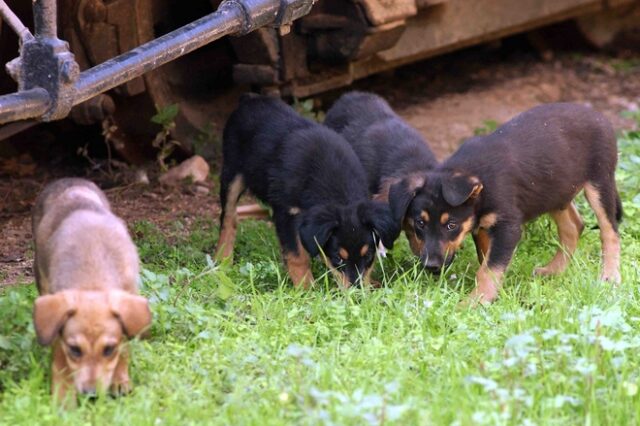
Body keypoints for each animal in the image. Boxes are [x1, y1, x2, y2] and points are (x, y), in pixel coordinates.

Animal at [33, 177, 152, 402]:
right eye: (75, 350)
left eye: (108, 349)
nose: (91, 395)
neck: (92, 281)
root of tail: (69, 180)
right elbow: (60, 358)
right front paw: (63, 397)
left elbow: (124, 348)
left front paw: (120, 380)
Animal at [218, 95, 398, 288]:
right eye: (337, 258)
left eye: (369, 256)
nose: (357, 292)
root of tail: (249, 99)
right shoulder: (286, 213)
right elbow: (297, 256)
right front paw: (306, 288)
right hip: (232, 172)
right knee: (228, 217)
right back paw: (222, 260)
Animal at [388, 103, 624, 302]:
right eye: (420, 224)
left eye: (451, 225)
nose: (431, 266)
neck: (478, 182)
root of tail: (597, 114)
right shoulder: (484, 228)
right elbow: (487, 262)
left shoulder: (507, 227)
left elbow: (488, 269)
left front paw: (474, 302)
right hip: (555, 190)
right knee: (573, 227)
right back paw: (553, 270)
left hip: (599, 181)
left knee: (609, 232)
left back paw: (610, 277)